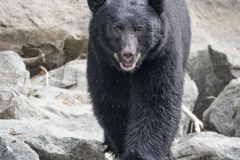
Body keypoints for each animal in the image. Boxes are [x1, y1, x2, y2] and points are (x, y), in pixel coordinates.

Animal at [87, 0, 190, 159]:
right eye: (116, 28)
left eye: (139, 28)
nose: (128, 54)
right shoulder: (103, 62)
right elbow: (112, 102)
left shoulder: (160, 56)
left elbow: (157, 102)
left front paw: (138, 154)